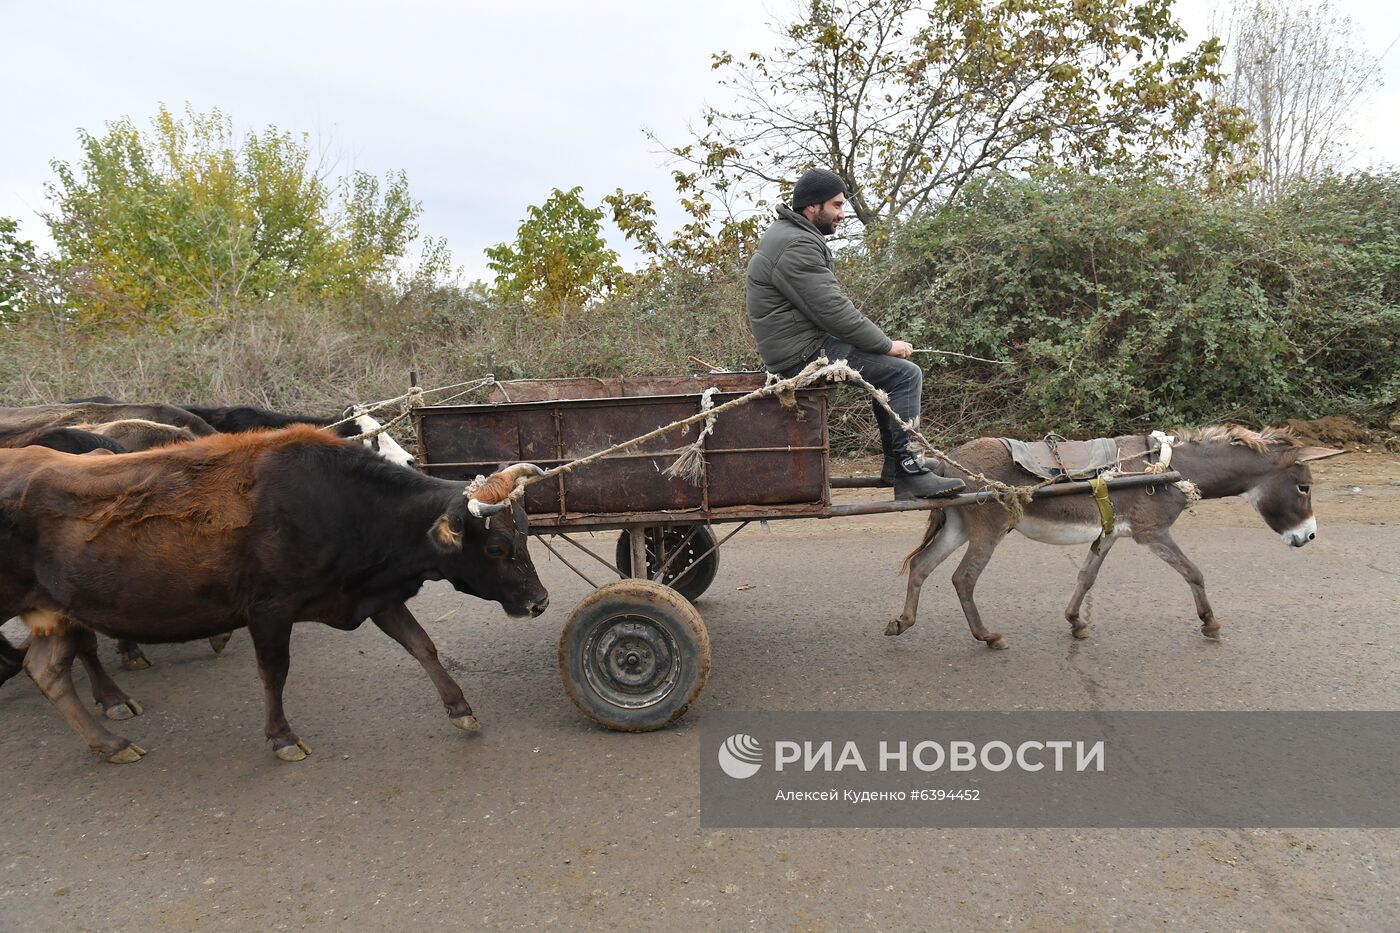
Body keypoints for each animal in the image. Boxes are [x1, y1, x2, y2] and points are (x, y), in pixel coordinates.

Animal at [0, 425, 546, 762]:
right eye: (496, 547)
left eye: (524, 533)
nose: (539, 602)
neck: (345, 504)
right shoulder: (269, 610)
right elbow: (274, 673)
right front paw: (282, 737)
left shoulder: (373, 594)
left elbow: (422, 647)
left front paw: (460, 709)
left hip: (57, 612)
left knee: (46, 669)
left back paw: (110, 742)